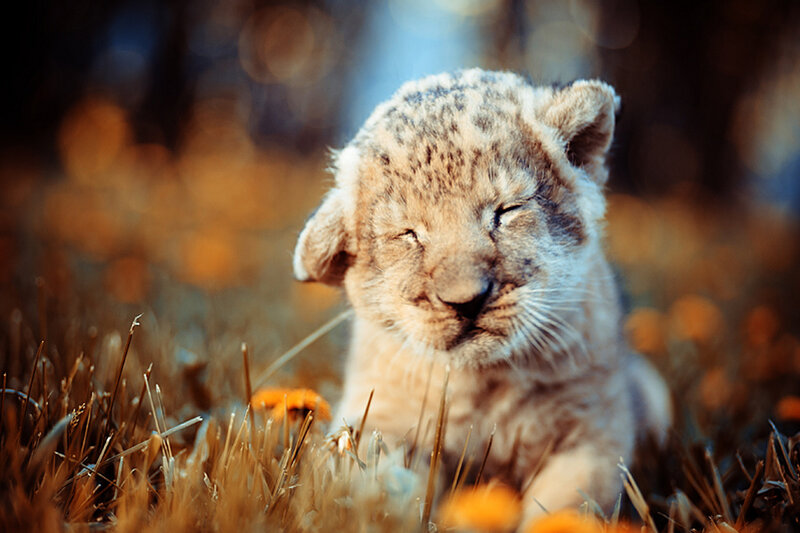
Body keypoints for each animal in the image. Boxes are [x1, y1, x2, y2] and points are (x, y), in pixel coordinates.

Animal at [293, 69, 671, 526]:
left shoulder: (594, 435)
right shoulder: (377, 420)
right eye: (408, 234)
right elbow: (376, 491)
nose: (466, 300)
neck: (485, 384)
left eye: (506, 211)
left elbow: (560, 511)